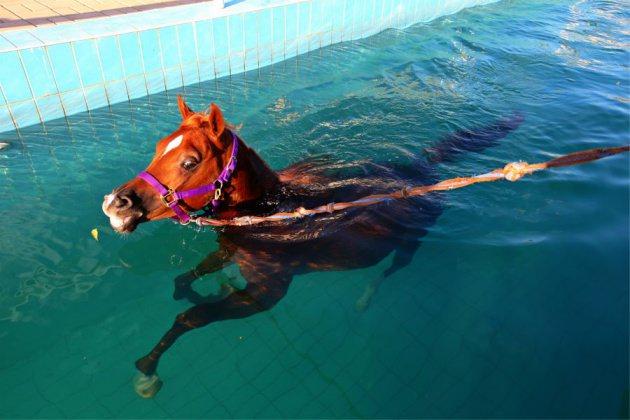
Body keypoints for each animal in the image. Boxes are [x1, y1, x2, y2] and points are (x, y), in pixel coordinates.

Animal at [102, 96, 524, 388]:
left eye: (190, 161)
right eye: (159, 147)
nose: (115, 204)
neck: (270, 212)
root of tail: (423, 167)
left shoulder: (265, 293)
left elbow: (193, 317)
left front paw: (147, 371)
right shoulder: (229, 250)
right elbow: (190, 278)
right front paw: (192, 289)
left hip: (413, 239)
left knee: (393, 269)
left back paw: (365, 298)